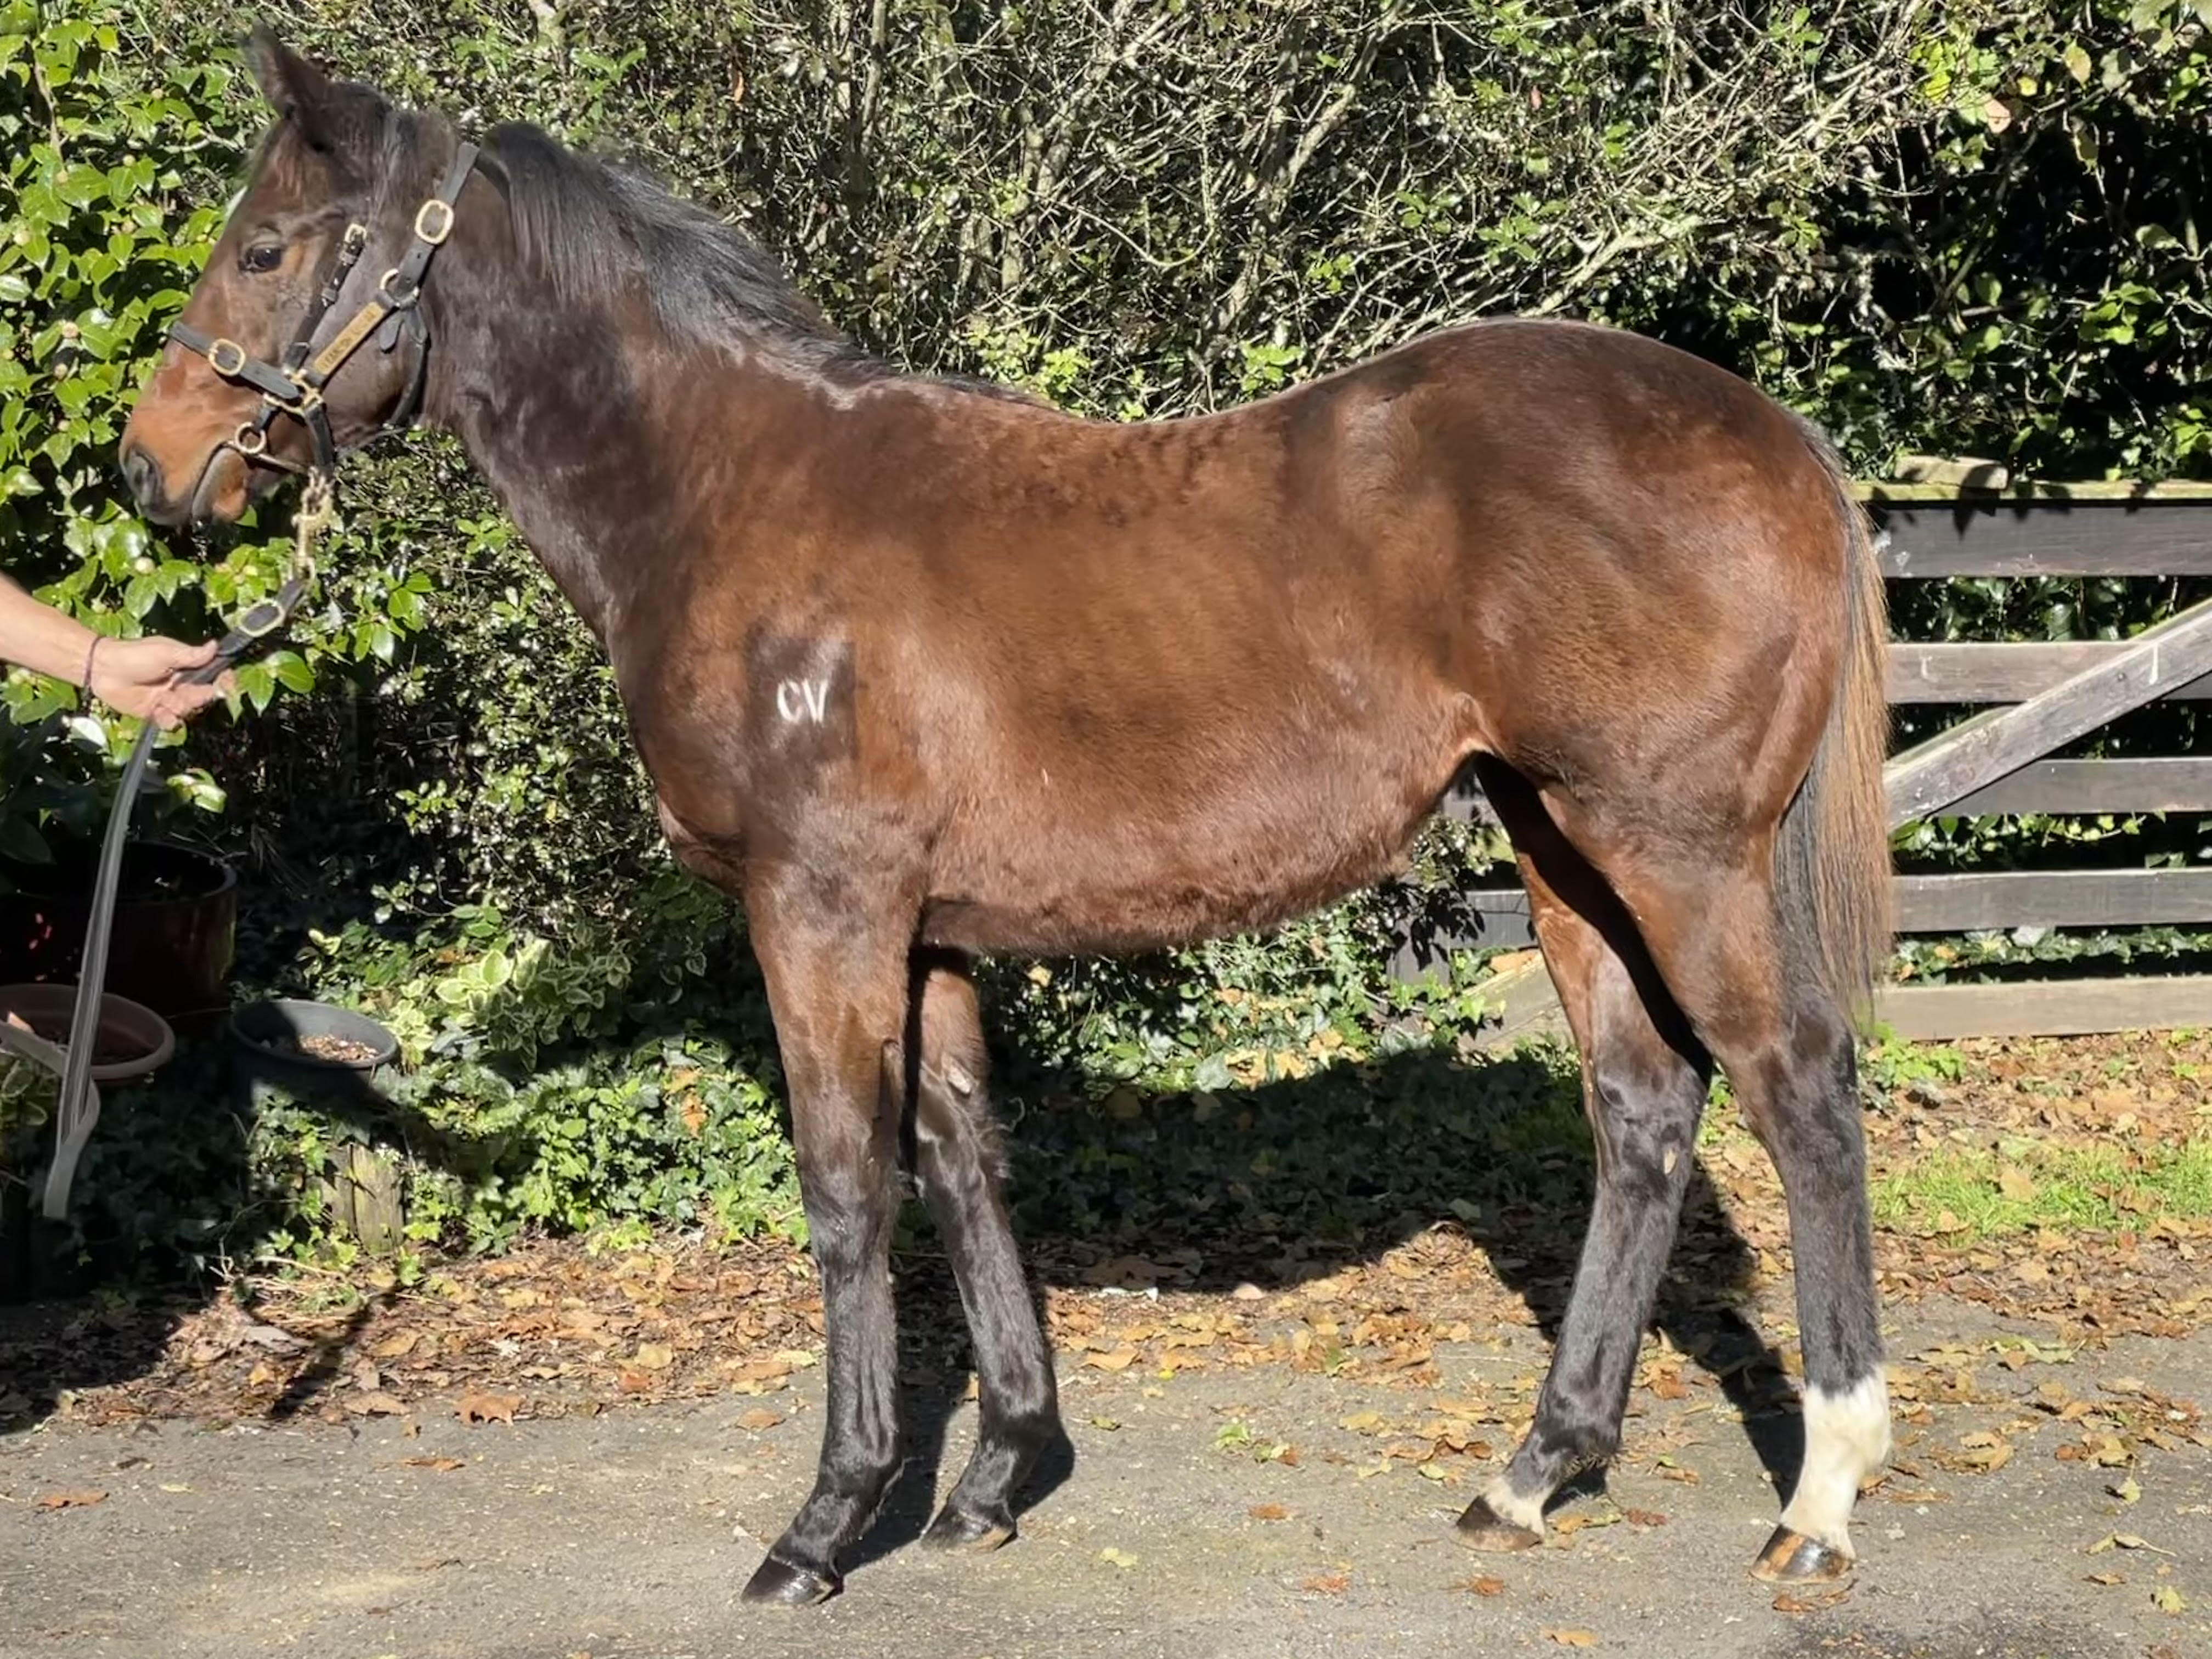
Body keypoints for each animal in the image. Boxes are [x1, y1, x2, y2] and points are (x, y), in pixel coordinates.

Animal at [120, 29, 1894, 1609]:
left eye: (267, 247)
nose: (152, 471)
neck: (729, 495)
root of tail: (1780, 439)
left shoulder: (819, 906)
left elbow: (846, 1187)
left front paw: (828, 1523)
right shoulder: (927, 930)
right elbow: (963, 1160)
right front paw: (995, 1480)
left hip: (1676, 852)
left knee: (1798, 1087)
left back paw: (1820, 1497)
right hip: (1560, 848)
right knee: (1645, 1111)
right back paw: (1538, 1470)